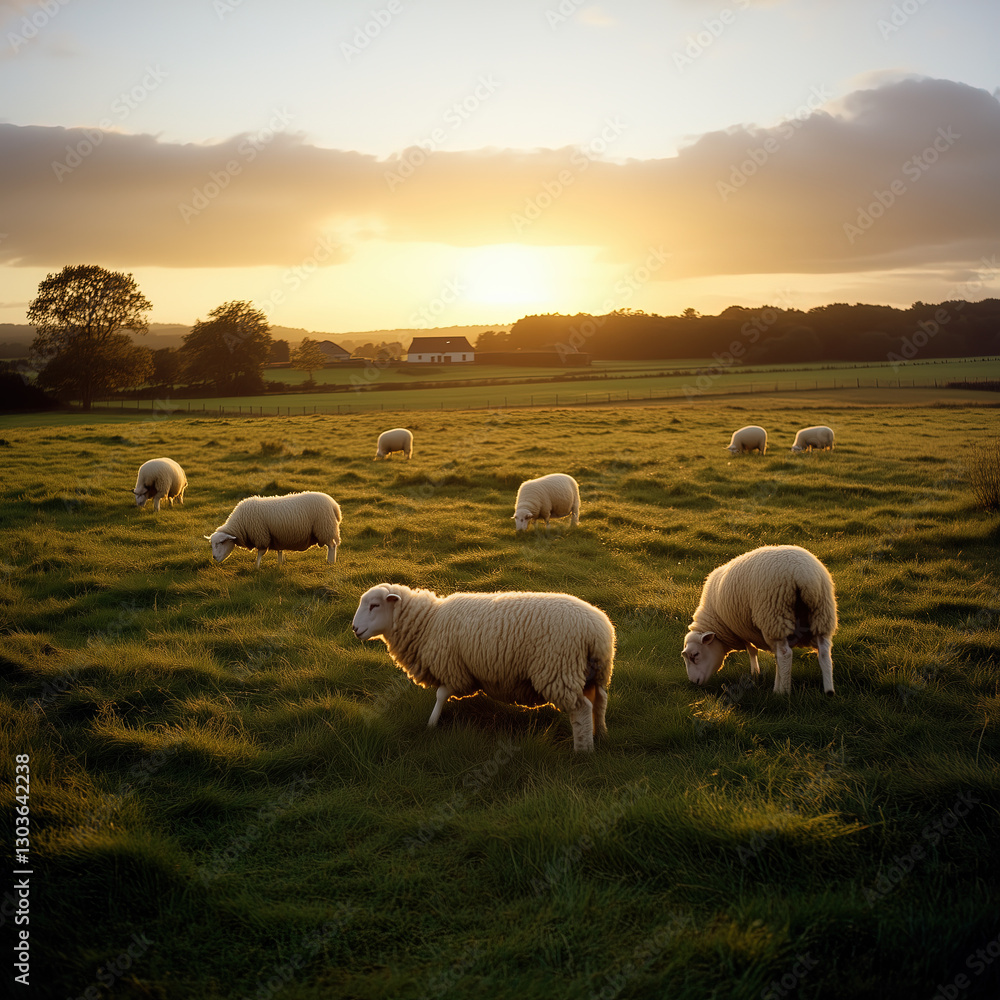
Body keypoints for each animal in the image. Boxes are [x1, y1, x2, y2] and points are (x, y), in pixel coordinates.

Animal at [205, 491, 341, 568]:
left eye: (221, 542)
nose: (214, 557)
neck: (240, 524)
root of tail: (334, 504)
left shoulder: (261, 535)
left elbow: (260, 552)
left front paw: (256, 567)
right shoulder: (277, 536)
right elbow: (279, 551)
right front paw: (280, 563)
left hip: (325, 528)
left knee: (332, 546)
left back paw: (330, 562)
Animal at [351, 584, 616, 751]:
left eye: (374, 606)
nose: (354, 629)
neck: (429, 621)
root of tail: (598, 632)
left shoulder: (452, 667)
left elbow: (441, 694)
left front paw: (431, 724)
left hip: (559, 669)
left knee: (582, 709)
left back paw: (583, 750)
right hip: (596, 673)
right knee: (600, 701)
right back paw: (601, 734)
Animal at [681, 544, 837, 696]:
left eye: (695, 655)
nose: (694, 682)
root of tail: (804, 576)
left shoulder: (742, 630)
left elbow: (752, 650)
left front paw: (755, 672)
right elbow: (772, 656)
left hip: (774, 616)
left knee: (785, 655)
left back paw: (782, 692)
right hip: (821, 616)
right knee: (824, 652)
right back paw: (829, 691)